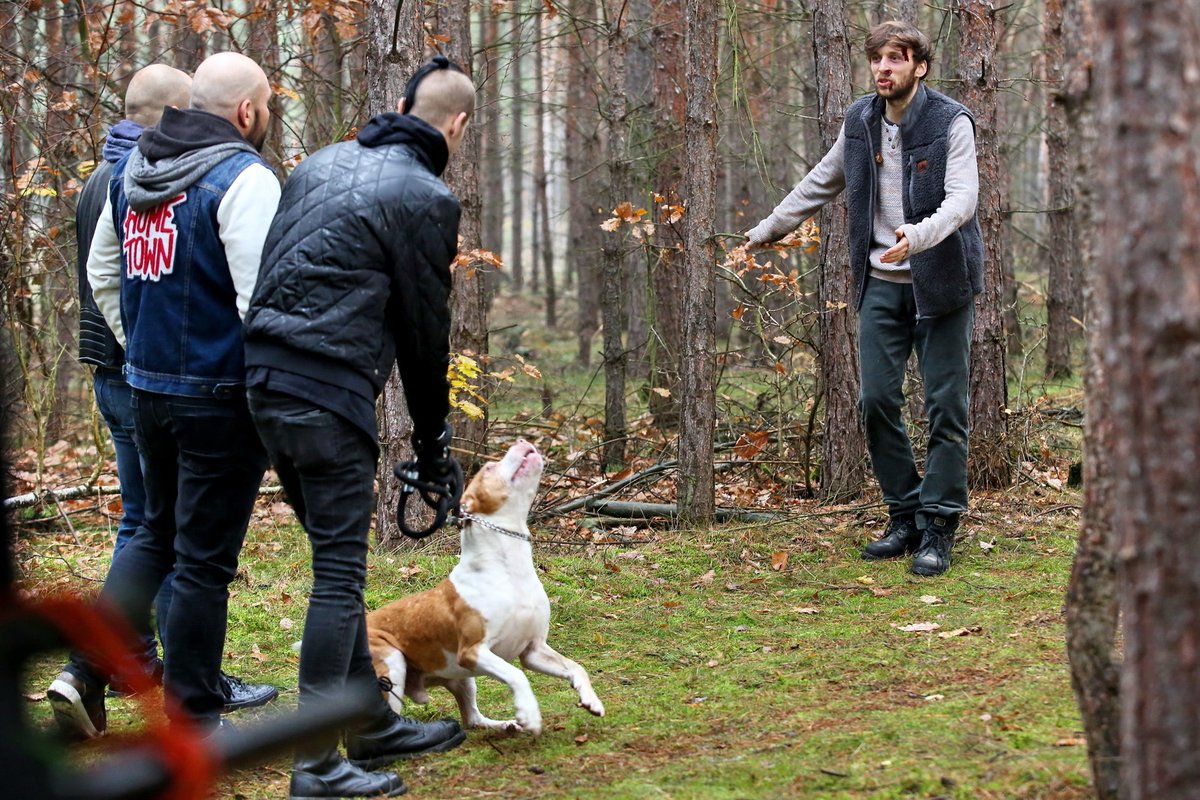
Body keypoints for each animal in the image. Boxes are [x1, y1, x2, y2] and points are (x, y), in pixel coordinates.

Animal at [364, 441, 604, 734]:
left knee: (473, 718)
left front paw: (590, 699)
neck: (508, 567)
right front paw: (529, 713)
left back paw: (506, 725)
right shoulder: (473, 651)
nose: (522, 441)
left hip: (461, 679)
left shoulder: (533, 650)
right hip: (393, 662)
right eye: (490, 467)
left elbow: (576, 667)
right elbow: (517, 674)